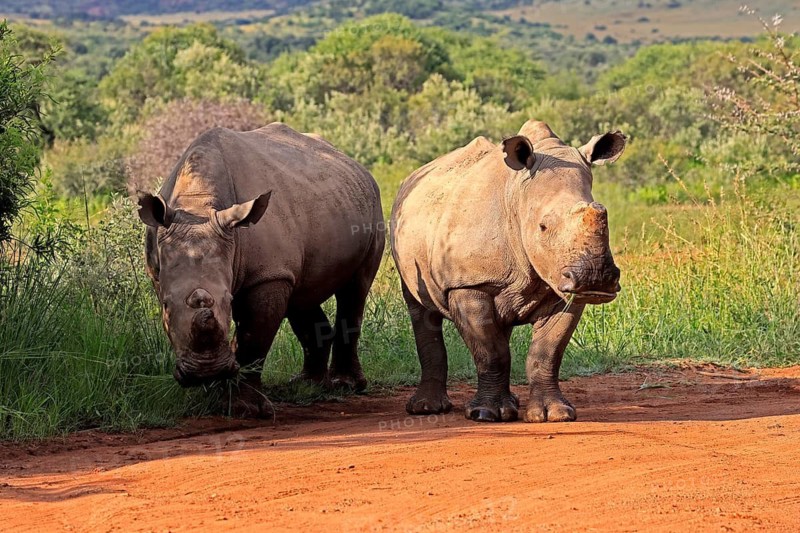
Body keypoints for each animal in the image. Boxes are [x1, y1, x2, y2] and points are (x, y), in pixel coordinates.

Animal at [137, 123, 385, 416]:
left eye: (229, 301)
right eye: (165, 305)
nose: (205, 371)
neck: (197, 205)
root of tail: (354, 163)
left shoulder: (267, 276)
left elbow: (254, 339)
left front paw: (243, 408)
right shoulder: (157, 271)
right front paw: (214, 395)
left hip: (373, 207)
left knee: (355, 290)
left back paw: (344, 385)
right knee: (301, 295)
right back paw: (305, 385)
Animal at [390, 120, 626, 423]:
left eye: (603, 214)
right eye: (542, 227)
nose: (595, 279)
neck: (517, 197)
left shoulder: (564, 286)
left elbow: (547, 353)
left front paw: (555, 414)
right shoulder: (469, 284)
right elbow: (491, 351)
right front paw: (485, 414)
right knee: (421, 309)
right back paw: (427, 408)